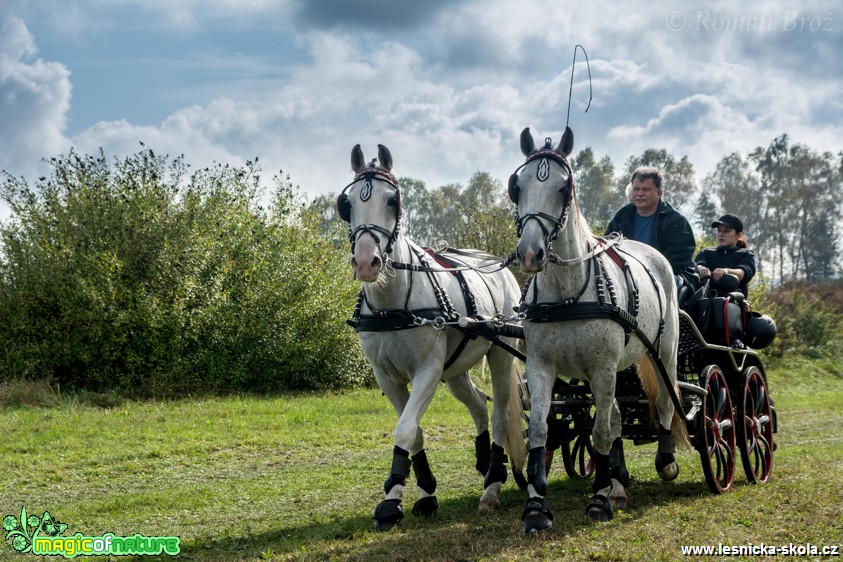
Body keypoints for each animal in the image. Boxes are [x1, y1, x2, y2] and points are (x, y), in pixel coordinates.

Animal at [338, 142, 524, 528]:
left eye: (392, 200)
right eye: (347, 204)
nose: (366, 263)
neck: (394, 305)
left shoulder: (426, 370)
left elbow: (405, 430)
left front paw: (393, 501)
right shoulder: (387, 376)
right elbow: (413, 431)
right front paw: (417, 493)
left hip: (500, 356)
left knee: (499, 413)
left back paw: (493, 483)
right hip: (455, 371)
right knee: (477, 403)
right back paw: (484, 460)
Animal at [512, 127, 688, 528]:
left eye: (564, 187)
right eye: (518, 186)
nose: (530, 253)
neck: (566, 295)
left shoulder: (601, 369)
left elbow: (601, 431)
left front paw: (598, 500)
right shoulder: (541, 367)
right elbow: (541, 430)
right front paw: (536, 506)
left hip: (664, 351)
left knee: (665, 401)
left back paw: (665, 461)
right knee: (620, 415)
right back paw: (617, 481)